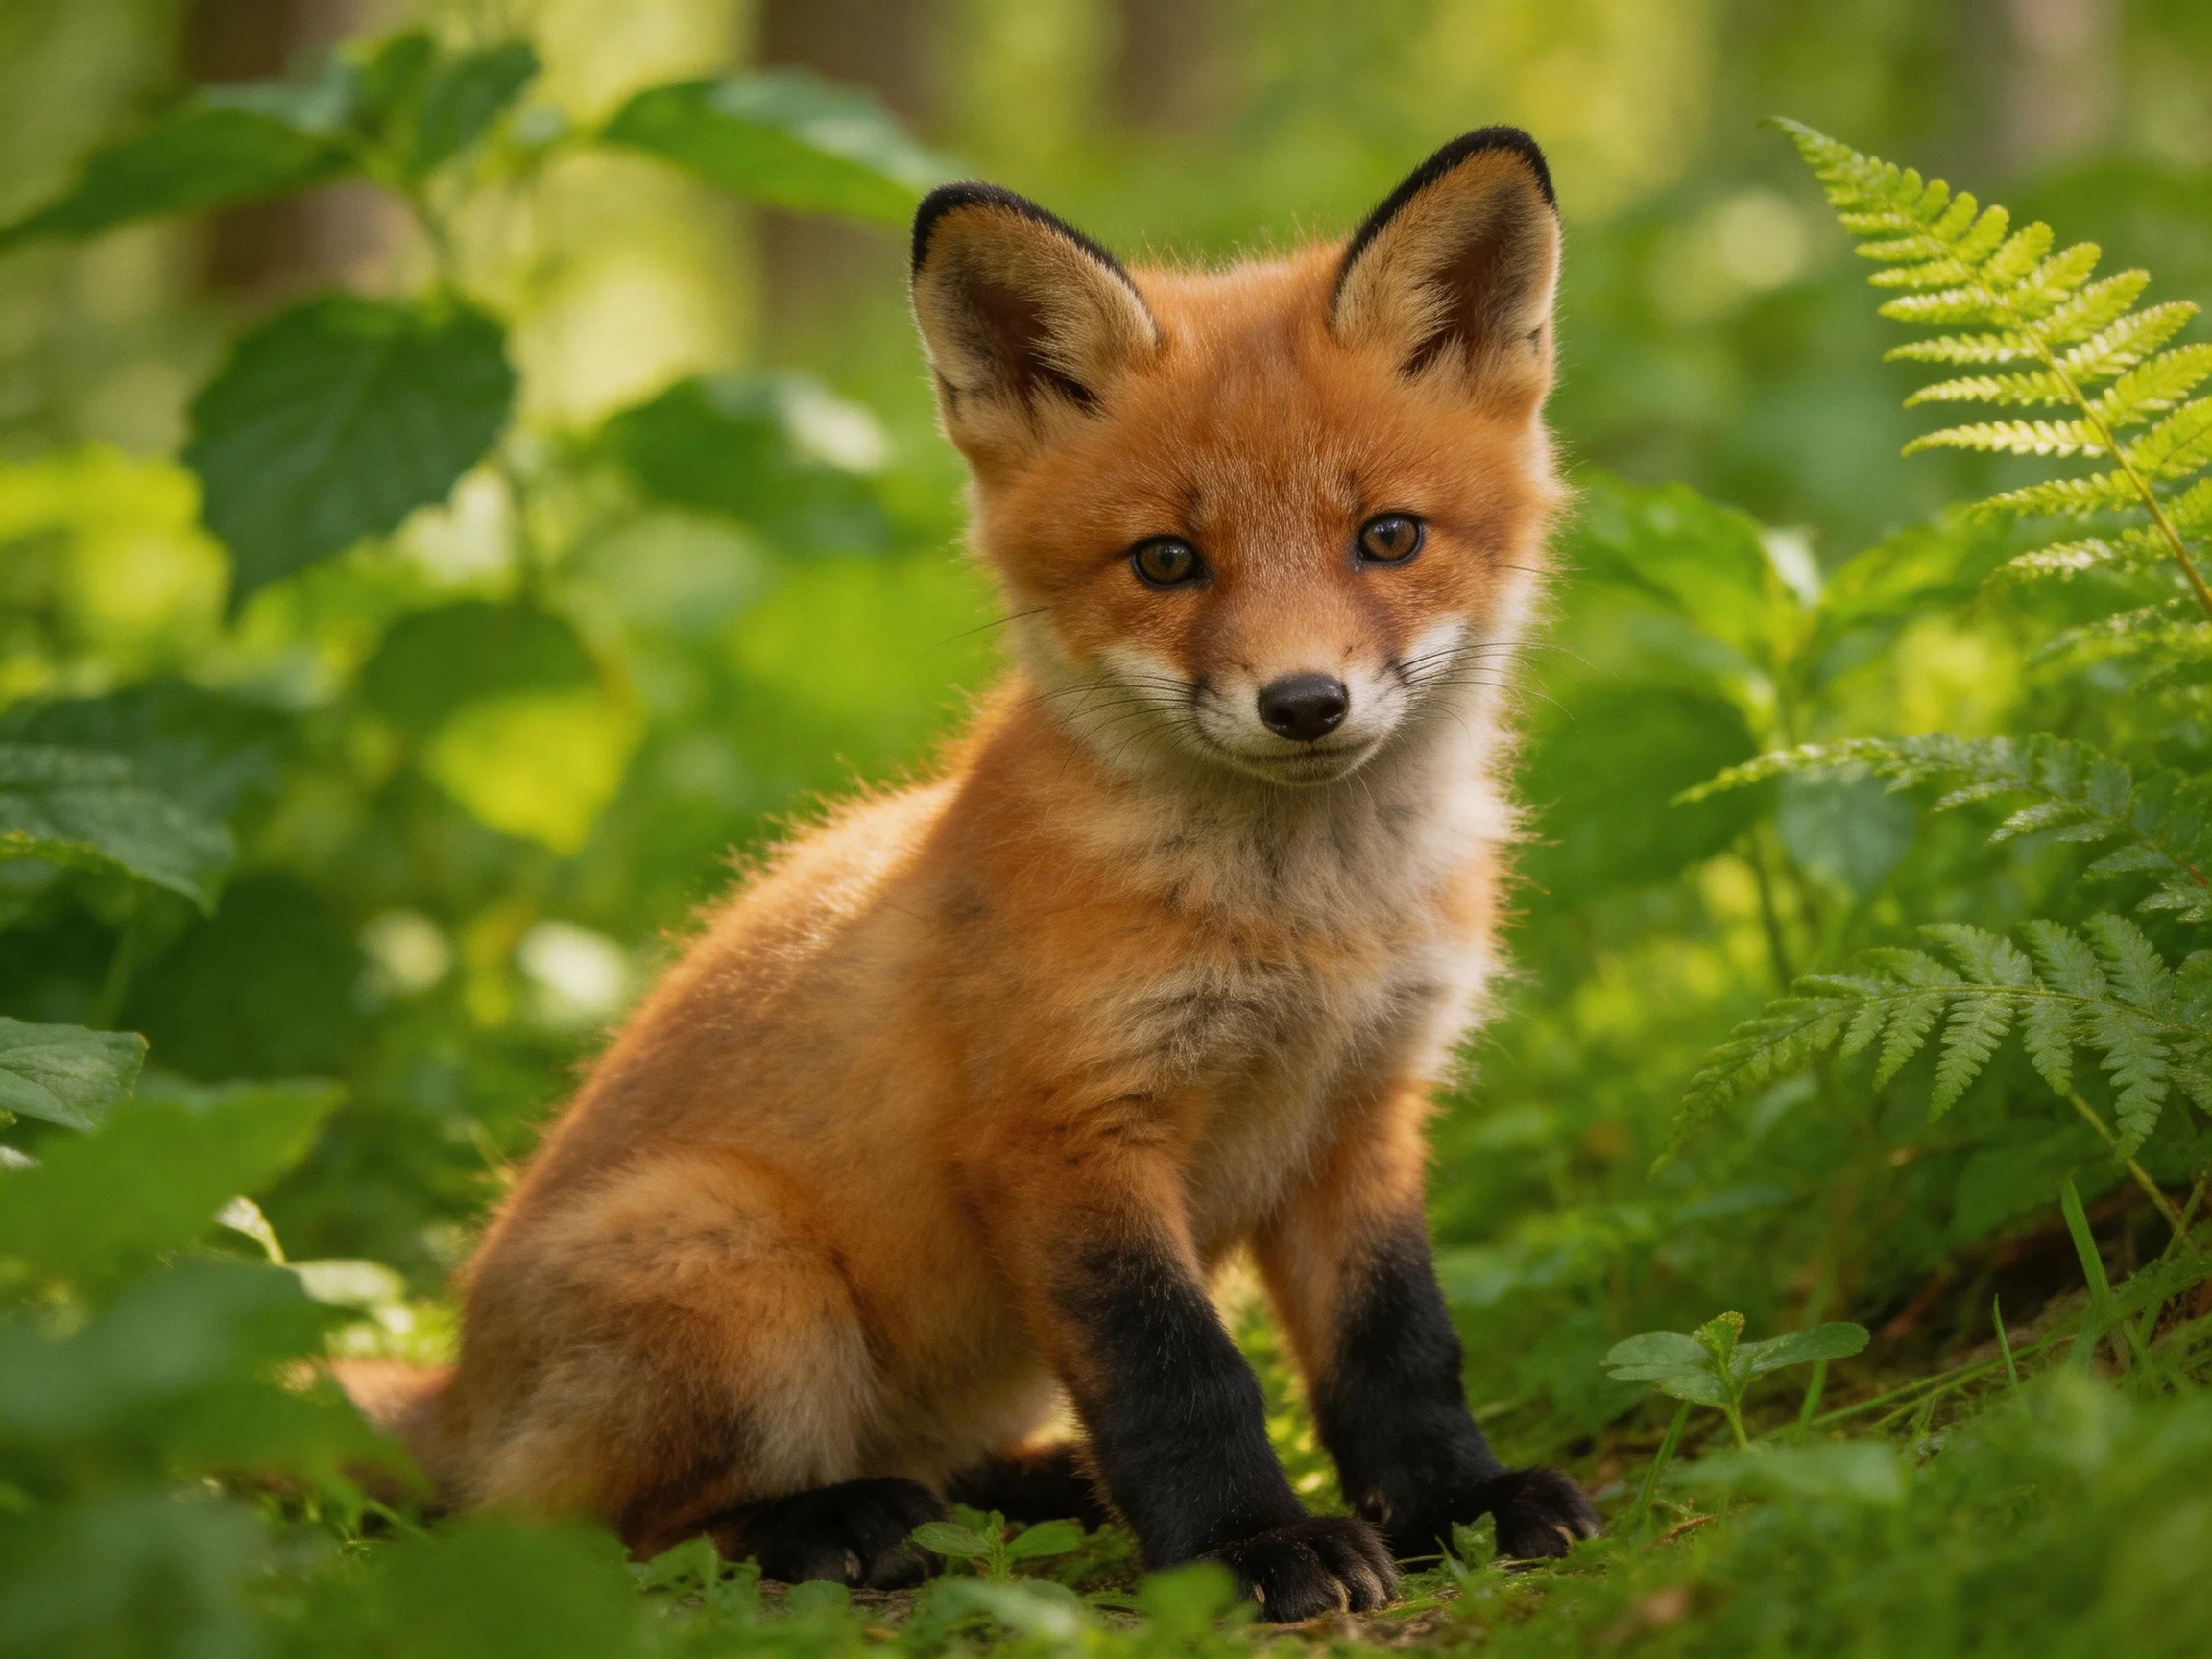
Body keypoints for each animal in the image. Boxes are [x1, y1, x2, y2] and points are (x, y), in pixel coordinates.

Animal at [350, 125, 1601, 1622]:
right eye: (1167, 561)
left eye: (1389, 537)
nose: (1305, 703)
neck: (1304, 930)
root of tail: (454, 1392)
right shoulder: (1061, 1134)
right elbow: (1181, 1377)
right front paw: (1251, 1547)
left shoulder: (1362, 1113)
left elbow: (1399, 1350)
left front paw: (1457, 1504)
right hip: (747, 1270)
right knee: (577, 1536)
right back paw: (826, 1524)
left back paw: (1029, 1493)